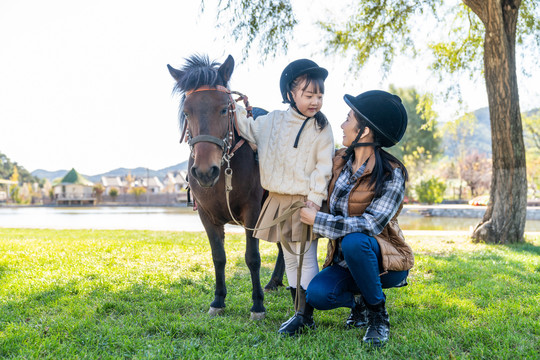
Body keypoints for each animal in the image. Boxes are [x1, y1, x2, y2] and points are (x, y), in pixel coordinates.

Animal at [168, 53, 286, 318]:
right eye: (187, 112)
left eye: (224, 109)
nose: (204, 171)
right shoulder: (206, 214)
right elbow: (218, 257)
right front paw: (218, 300)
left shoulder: (253, 212)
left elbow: (252, 257)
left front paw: (257, 305)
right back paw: (275, 282)